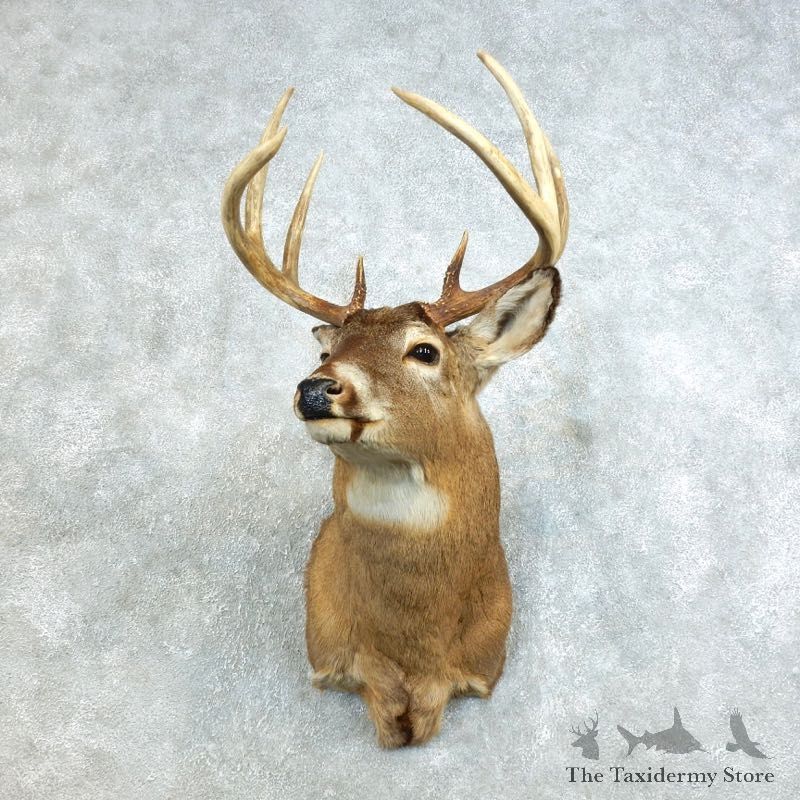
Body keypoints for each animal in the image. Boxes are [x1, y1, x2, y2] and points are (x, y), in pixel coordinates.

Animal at [220, 51, 569, 748]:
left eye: (425, 351)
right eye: (327, 353)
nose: (316, 388)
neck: (412, 649)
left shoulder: (479, 667)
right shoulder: (332, 654)